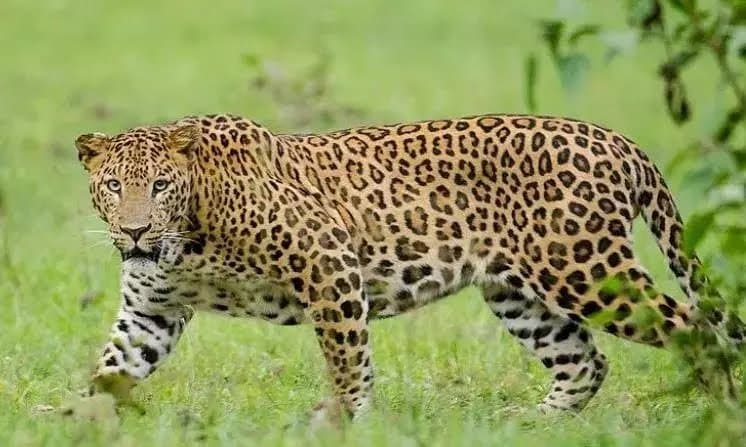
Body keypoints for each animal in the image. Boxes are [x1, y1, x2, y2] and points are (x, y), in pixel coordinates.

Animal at [74, 113, 744, 421]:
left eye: (160, 186)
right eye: (114, 185)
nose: (135, 230)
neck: (187, 239)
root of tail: (617, 140)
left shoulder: (329, 261)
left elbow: (347, 358)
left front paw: (344, 420)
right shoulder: (151, 310)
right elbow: (113, 368)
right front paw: (78, 421)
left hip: (583, 269)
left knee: (695, 329)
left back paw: (717, 414)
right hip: (518, 293)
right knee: (585, 362)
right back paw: (533, 425)